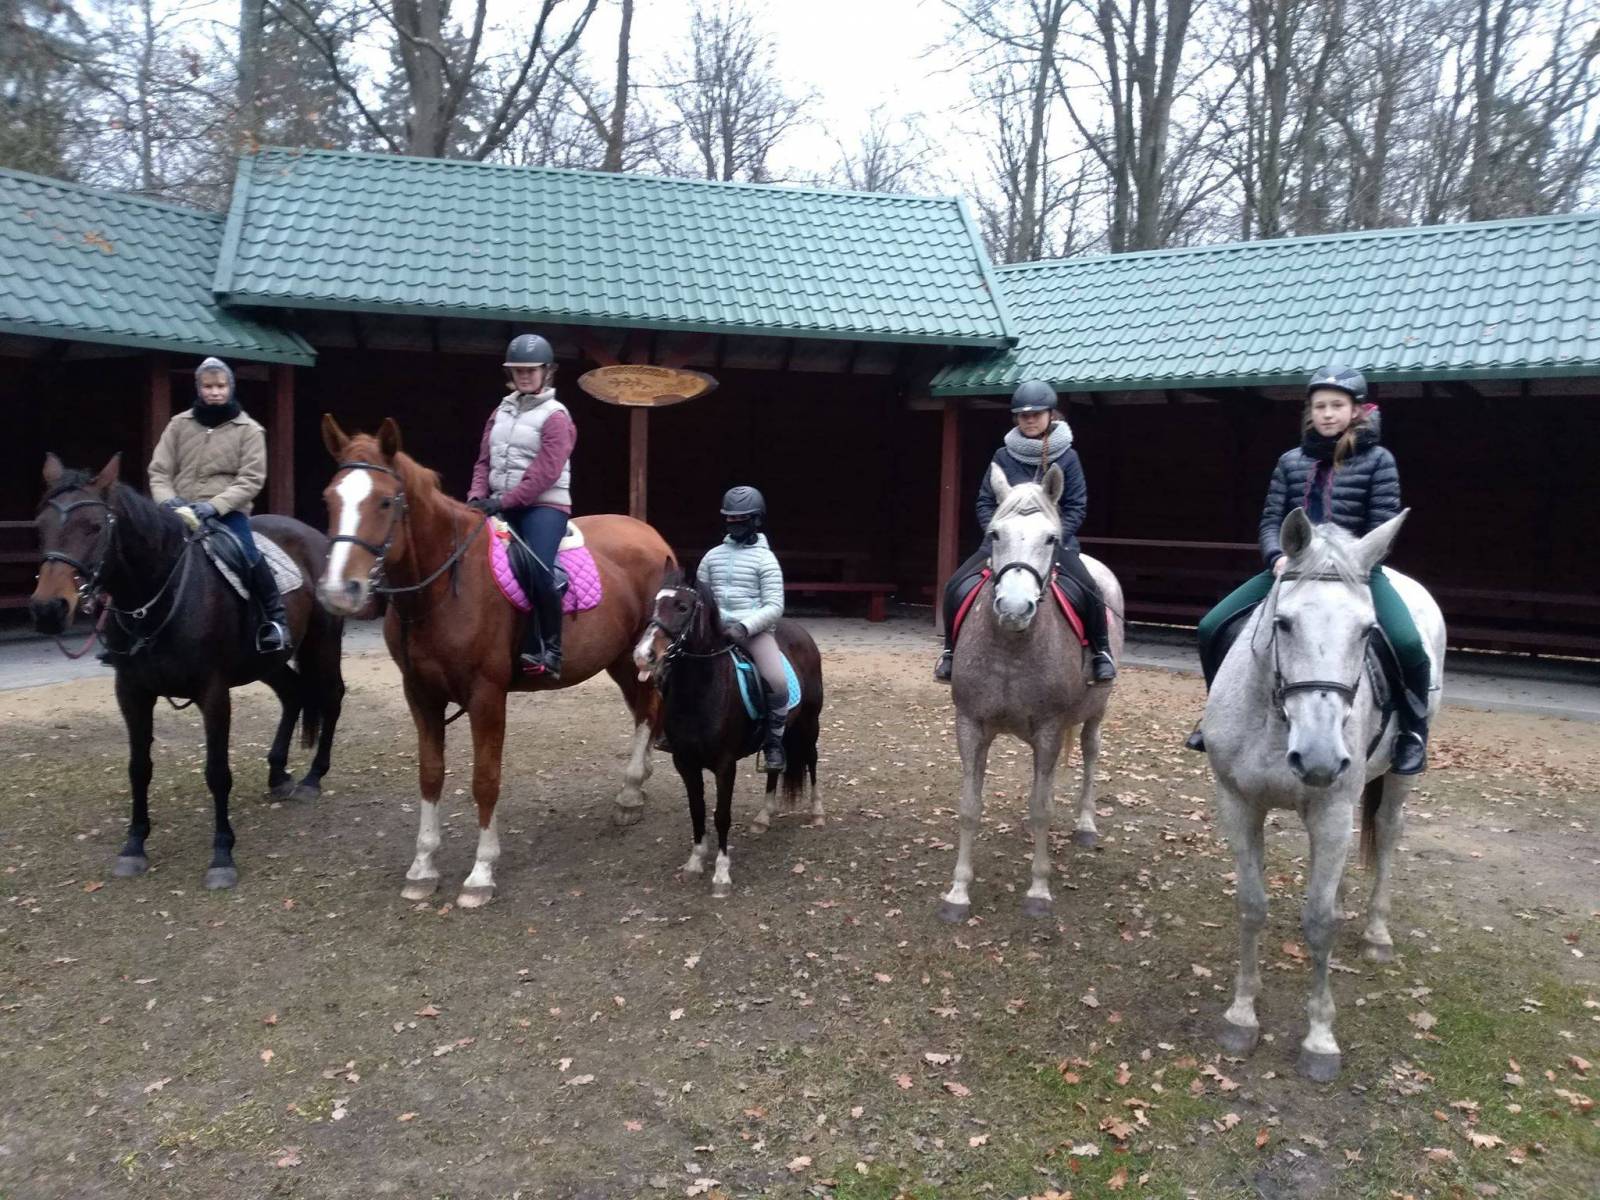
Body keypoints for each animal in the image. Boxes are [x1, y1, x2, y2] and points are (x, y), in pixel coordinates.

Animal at [28, 453, 346, 889]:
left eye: (94, 527)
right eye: (41, 526)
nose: (48, 609)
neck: (157, 598)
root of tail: (312, 535)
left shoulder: (213, 692)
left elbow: (217, 772)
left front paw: (222, 856)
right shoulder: (131, 692)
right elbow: (138, 768)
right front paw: (133, 847)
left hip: (322, 644)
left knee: (332, 697)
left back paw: (313, 778)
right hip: (267, 661)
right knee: (293, 693)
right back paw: (278, 774)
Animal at [316, 416, 674, 908]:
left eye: (385, 501)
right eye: (329, 498)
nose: (339, 591)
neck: (444, 587)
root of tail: (650, 534)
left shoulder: (486, 695)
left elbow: (485, 779)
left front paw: (480, 874)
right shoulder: (419, 693)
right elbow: (430, 775)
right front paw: (423, 867)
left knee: (649, 710)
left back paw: (630, 793)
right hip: (620, 657)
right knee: (643, 710)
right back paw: (633, 791)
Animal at [632, 572, 824, 898]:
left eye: (682, 607)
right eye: (654, 604)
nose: (643, 655)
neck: (700, 692)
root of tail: (799, 630)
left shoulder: (725, 765)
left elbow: (721, 815)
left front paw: (721, 874)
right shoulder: (685, 763)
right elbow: (697, 810)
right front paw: (695, 861)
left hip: (810, 724)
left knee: (811, 760)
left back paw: (817, 811)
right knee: (775, 764)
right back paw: (763, 817)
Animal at [939, 464, 1125, 923]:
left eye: (1051, 538)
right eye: (994, 533)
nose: (1014, 608)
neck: (1011, 647)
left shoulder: (1049, 728)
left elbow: (1042, 810)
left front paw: (1039, 891)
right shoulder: (970, 725)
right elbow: (969, 808)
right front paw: (958, 893)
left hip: (1095, 713)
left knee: (1090, 754)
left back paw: (1086, 825)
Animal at [1202, 509, 1445, 1082]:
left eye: (1367, 631)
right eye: (1284, 623)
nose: (1318, 759)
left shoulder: (1332, 812)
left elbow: (1319, 924)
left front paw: (1319, 1039)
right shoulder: (1237, 803)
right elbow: (1252, 905)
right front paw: (1241, 1015)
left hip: (1398, 781)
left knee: (1389, 837)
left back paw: (1377, 935)